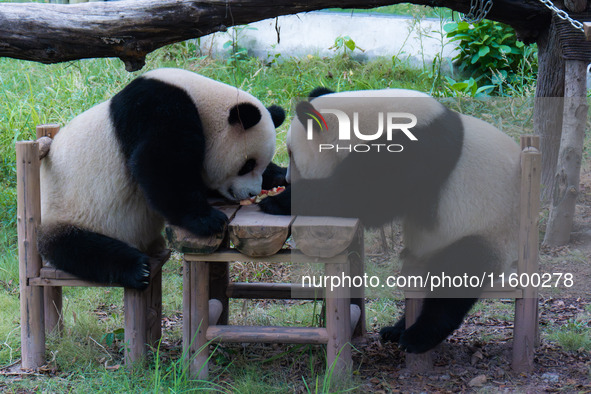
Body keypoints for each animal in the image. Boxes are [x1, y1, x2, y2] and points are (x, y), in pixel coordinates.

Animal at [38, 67, 286, 290]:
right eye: (248, 165)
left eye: (260, 165)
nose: (252, 192)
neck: (200, 99)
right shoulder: (157, 107)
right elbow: (160, 162)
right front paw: (208, 219)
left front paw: (280, 177)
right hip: (70, 213)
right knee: (81, 249)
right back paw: (136, 269)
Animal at [262, 87, 520, 354]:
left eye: (292, 153)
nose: (289, 179)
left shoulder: (417, 149)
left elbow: (363, 197)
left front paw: (276, 201)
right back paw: (395, 330)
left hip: (488, 232)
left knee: (458, 273)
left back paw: (417, 337)